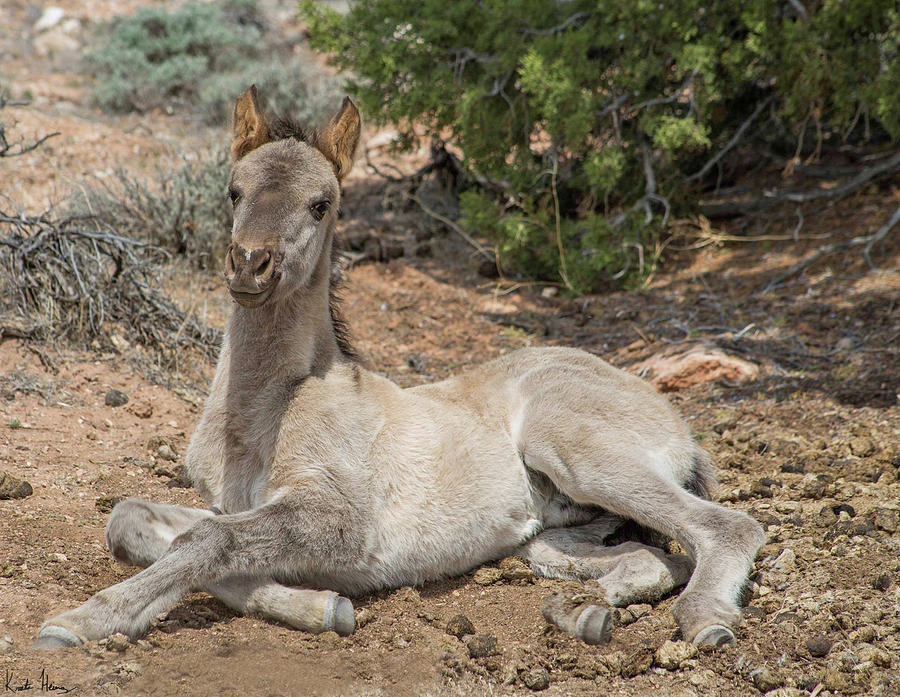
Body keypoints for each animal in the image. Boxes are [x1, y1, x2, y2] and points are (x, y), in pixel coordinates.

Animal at [37, 87, 768, 648]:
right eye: (233, 190)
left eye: (322, 203)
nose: (251, 266)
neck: (264, 411)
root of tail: (674, 420)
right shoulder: (229, 501)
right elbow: (134, 521)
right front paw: (316, 605)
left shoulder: (336, 516)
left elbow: (207, 540)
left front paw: (83, 620)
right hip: (548, 532)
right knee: (646, 555)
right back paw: (593, 608)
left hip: (579, 451)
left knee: (727, 528)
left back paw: (702, 621)